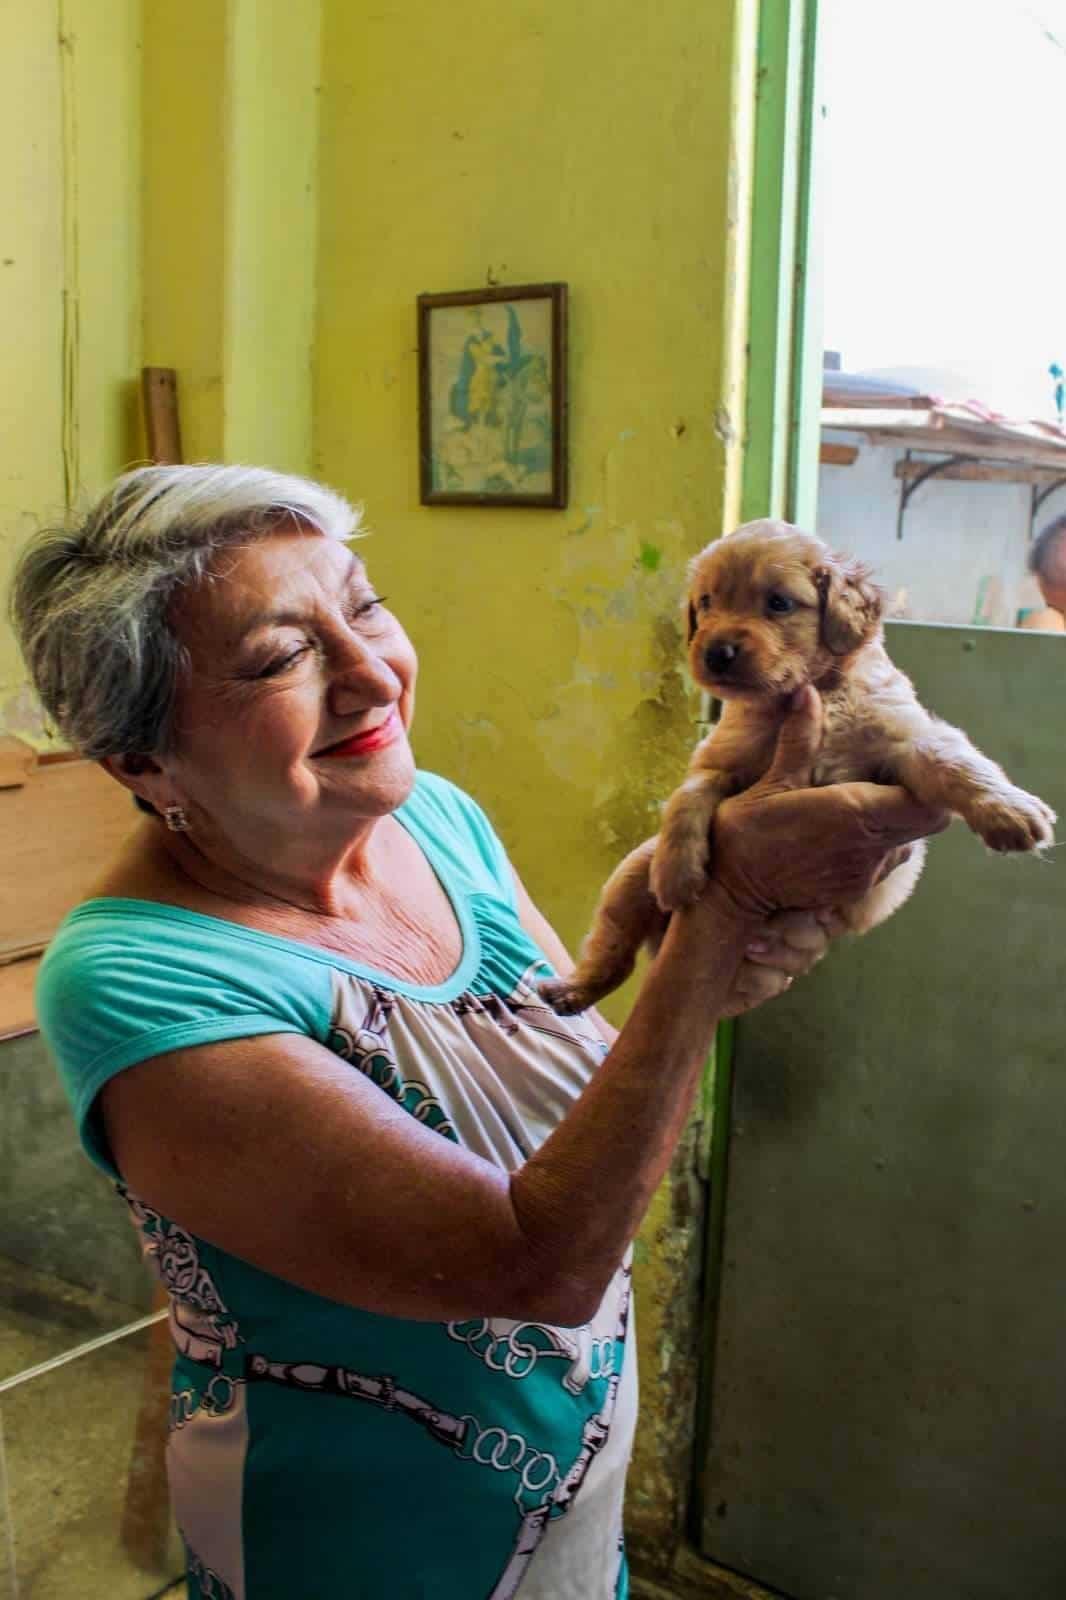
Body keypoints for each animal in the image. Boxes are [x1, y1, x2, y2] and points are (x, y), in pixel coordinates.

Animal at [541, 518, 1056, 1011]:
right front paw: (677, 871)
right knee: (613, 950)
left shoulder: (904, 738)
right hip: (629, 878)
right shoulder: (720, 757)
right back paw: (570, 991)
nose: (715, 653)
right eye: (706, 602)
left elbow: (951, 759)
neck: (816, 694)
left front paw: (1009, 810)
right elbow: (687, 797)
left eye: (779, 603)